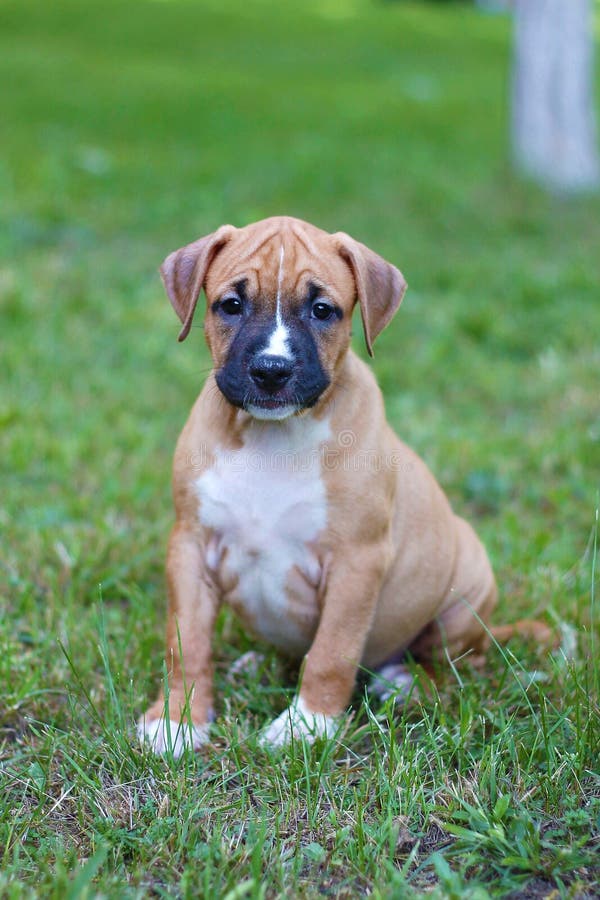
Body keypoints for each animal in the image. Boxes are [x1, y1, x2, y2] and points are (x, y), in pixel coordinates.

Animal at [138, 216, 500, 752]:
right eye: (231, 304)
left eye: (322, 310)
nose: (271, 370)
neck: (272, 437)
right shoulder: (190, 547)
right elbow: (187, 645)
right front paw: (178, 720)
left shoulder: (356, 562)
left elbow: (331, 651)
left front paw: (306, 725)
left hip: (465, 592)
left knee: (451, 662)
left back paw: (405, 681)